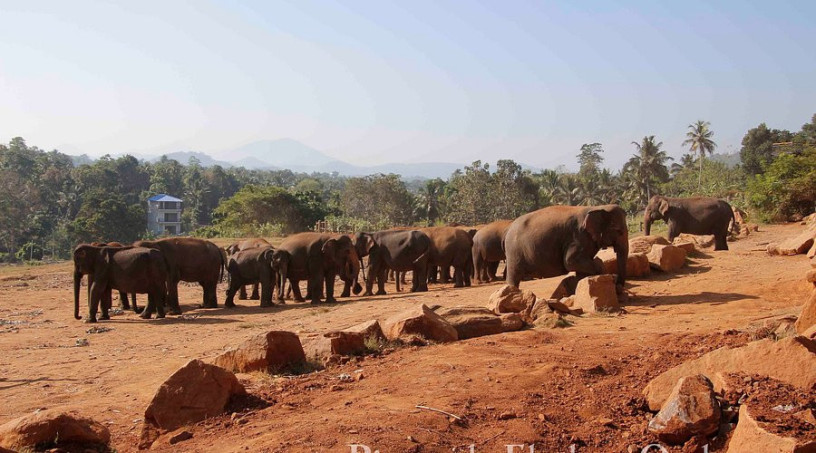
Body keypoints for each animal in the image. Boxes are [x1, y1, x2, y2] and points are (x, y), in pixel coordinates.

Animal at [504, 204, 632, 292]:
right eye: (619, 231)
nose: (618, 286)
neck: (596, 207)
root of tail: (509, 228)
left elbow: (580, 268)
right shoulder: (578, 237)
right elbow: (570, 261)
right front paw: (600, 267)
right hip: (513, 252)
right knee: (514, 275)